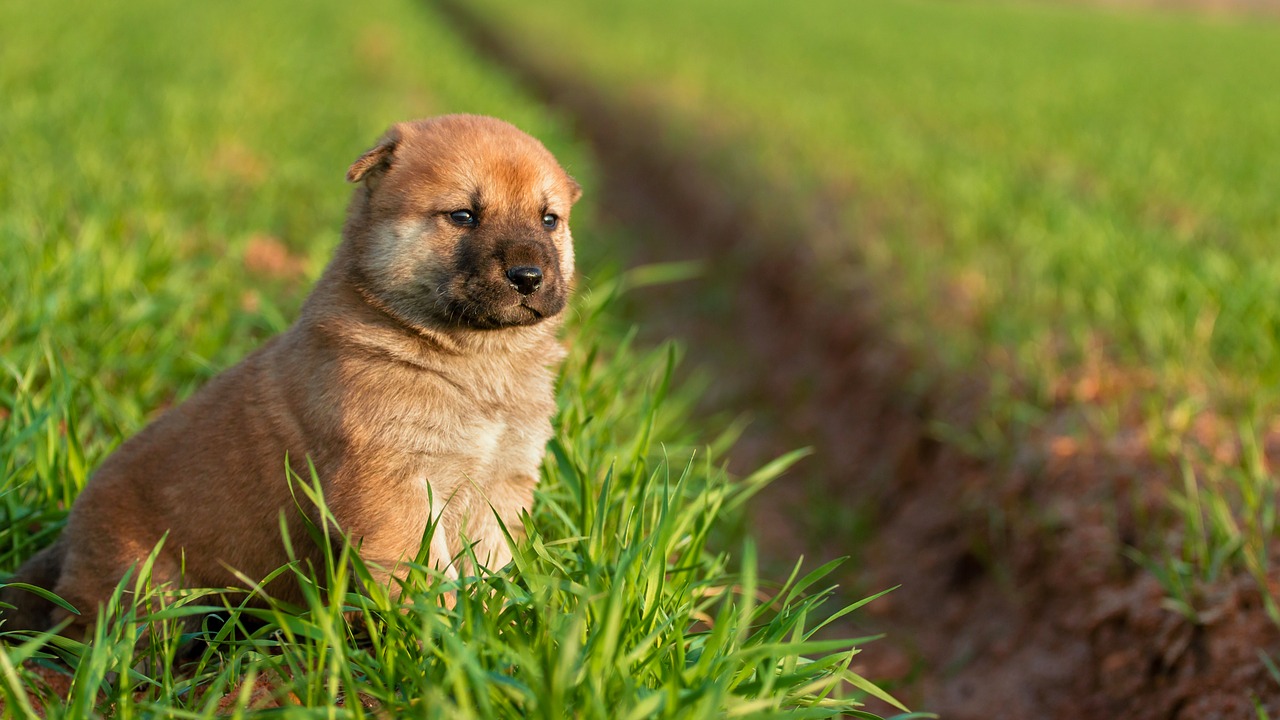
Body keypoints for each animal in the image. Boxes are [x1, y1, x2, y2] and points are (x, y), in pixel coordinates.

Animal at [2, 113, 583, 632]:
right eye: (463, 215)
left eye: (548, 219)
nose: (528, 275)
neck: (475, 361)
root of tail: (69, 536)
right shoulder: (392, 487)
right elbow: (424, 582)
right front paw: (446, 641)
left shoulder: (502, 483)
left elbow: (491, 569)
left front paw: (497, 629)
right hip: (144, 586)